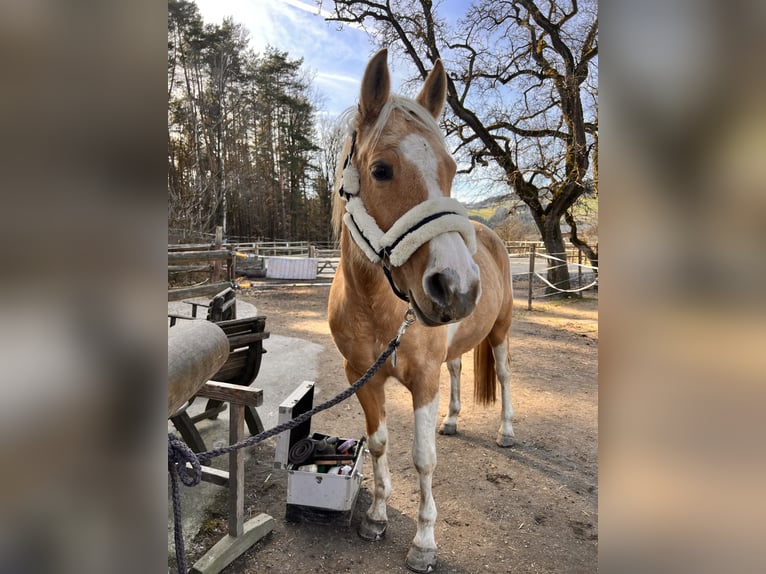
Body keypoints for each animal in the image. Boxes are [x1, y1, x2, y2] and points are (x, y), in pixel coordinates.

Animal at [328, 48, 515, 573]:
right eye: (381, 170)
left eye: (451, 169)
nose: (458, 286)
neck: (378, 308)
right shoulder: (362, 377)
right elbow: (378, 445)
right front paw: (376, 515)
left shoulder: (423, 380)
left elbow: (423, 459)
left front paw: (425, 541)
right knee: (457, 369)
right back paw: (452, 420)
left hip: (500, 334)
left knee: (503, 375)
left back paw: (507, 430)